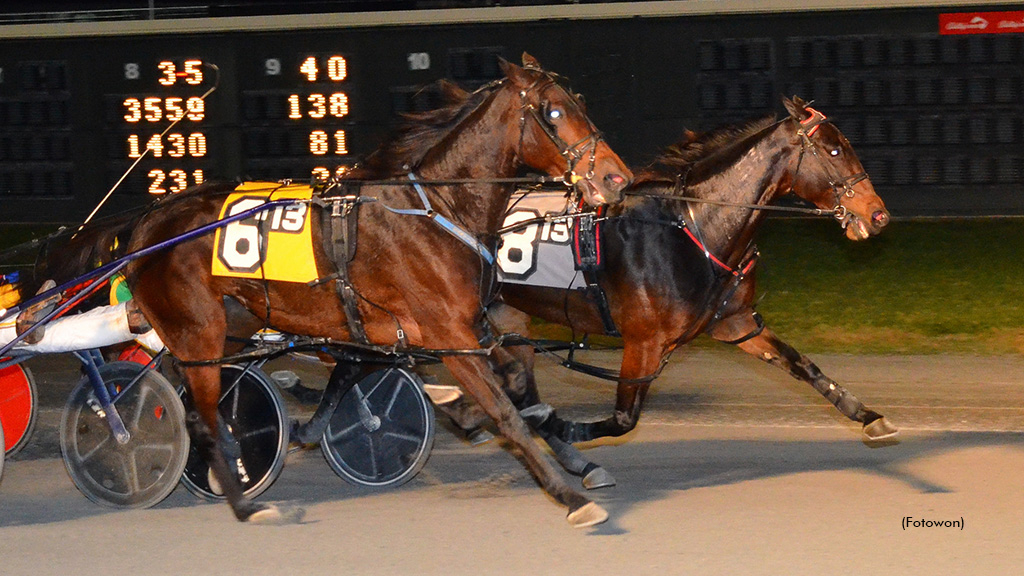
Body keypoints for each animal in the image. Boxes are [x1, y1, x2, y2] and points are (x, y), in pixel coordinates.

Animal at [122, 54, 626, 524]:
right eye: (552, 112)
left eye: (580, 103)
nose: (615, 177)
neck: (440, 208)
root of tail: (150, 223)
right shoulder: (448, 334)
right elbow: (504, 412)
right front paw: (570, 497)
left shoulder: (466, 326)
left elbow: (516, 382)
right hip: (197, 333)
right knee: (198, 418)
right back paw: (244, 503)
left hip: (234, 325)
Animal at [444, 97, 892, 479]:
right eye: (833, 151)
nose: (878, 214)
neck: (693, 227)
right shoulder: (644, 341)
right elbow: (623, 419)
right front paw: (557, 428)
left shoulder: (734, 322)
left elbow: (802, 364)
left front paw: (869, 416)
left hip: (507, 314)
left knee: (518, 380)